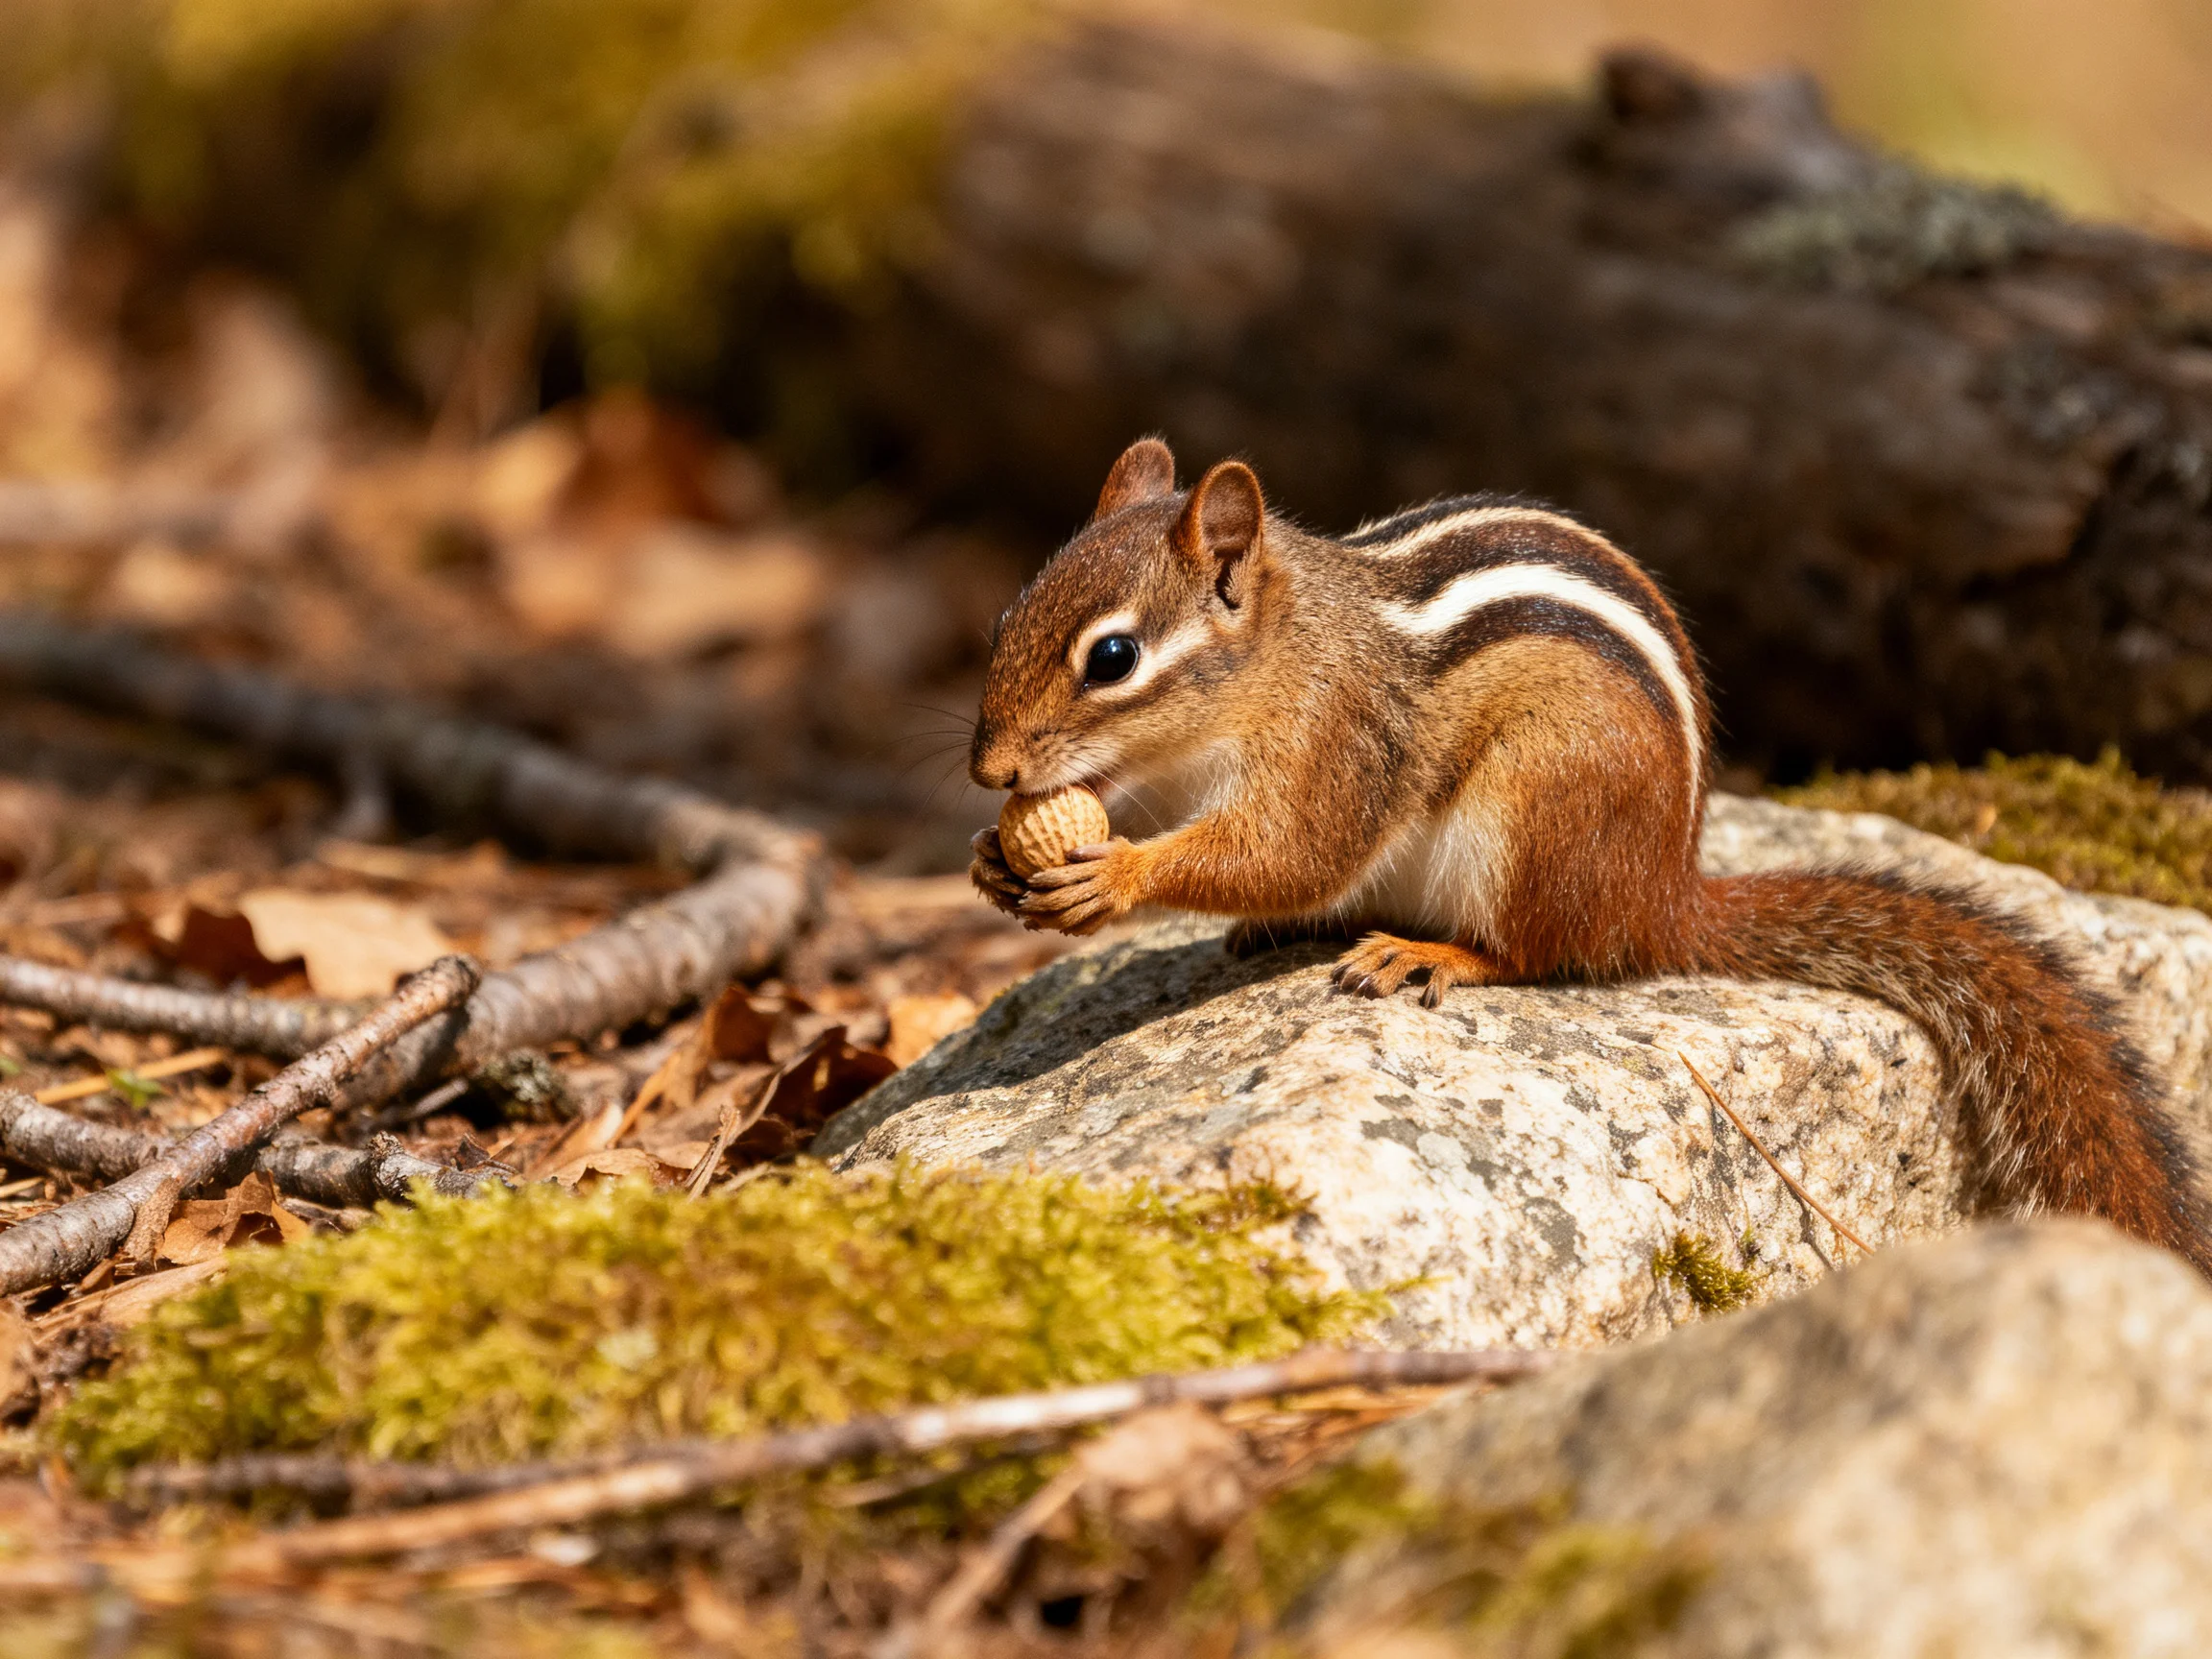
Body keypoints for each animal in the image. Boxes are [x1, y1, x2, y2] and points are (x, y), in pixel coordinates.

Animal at [967, 436, 2212, 1273]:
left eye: (1112, 658)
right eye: (1005, 621)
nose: (987, 771)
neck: (1272, 661)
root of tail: (1668, 892)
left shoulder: (1334, 747)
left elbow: (1290, 850)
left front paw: (1117, 874)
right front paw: (995, 860)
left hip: (1534, 813)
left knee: (1543, 951)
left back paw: (1431, 956)